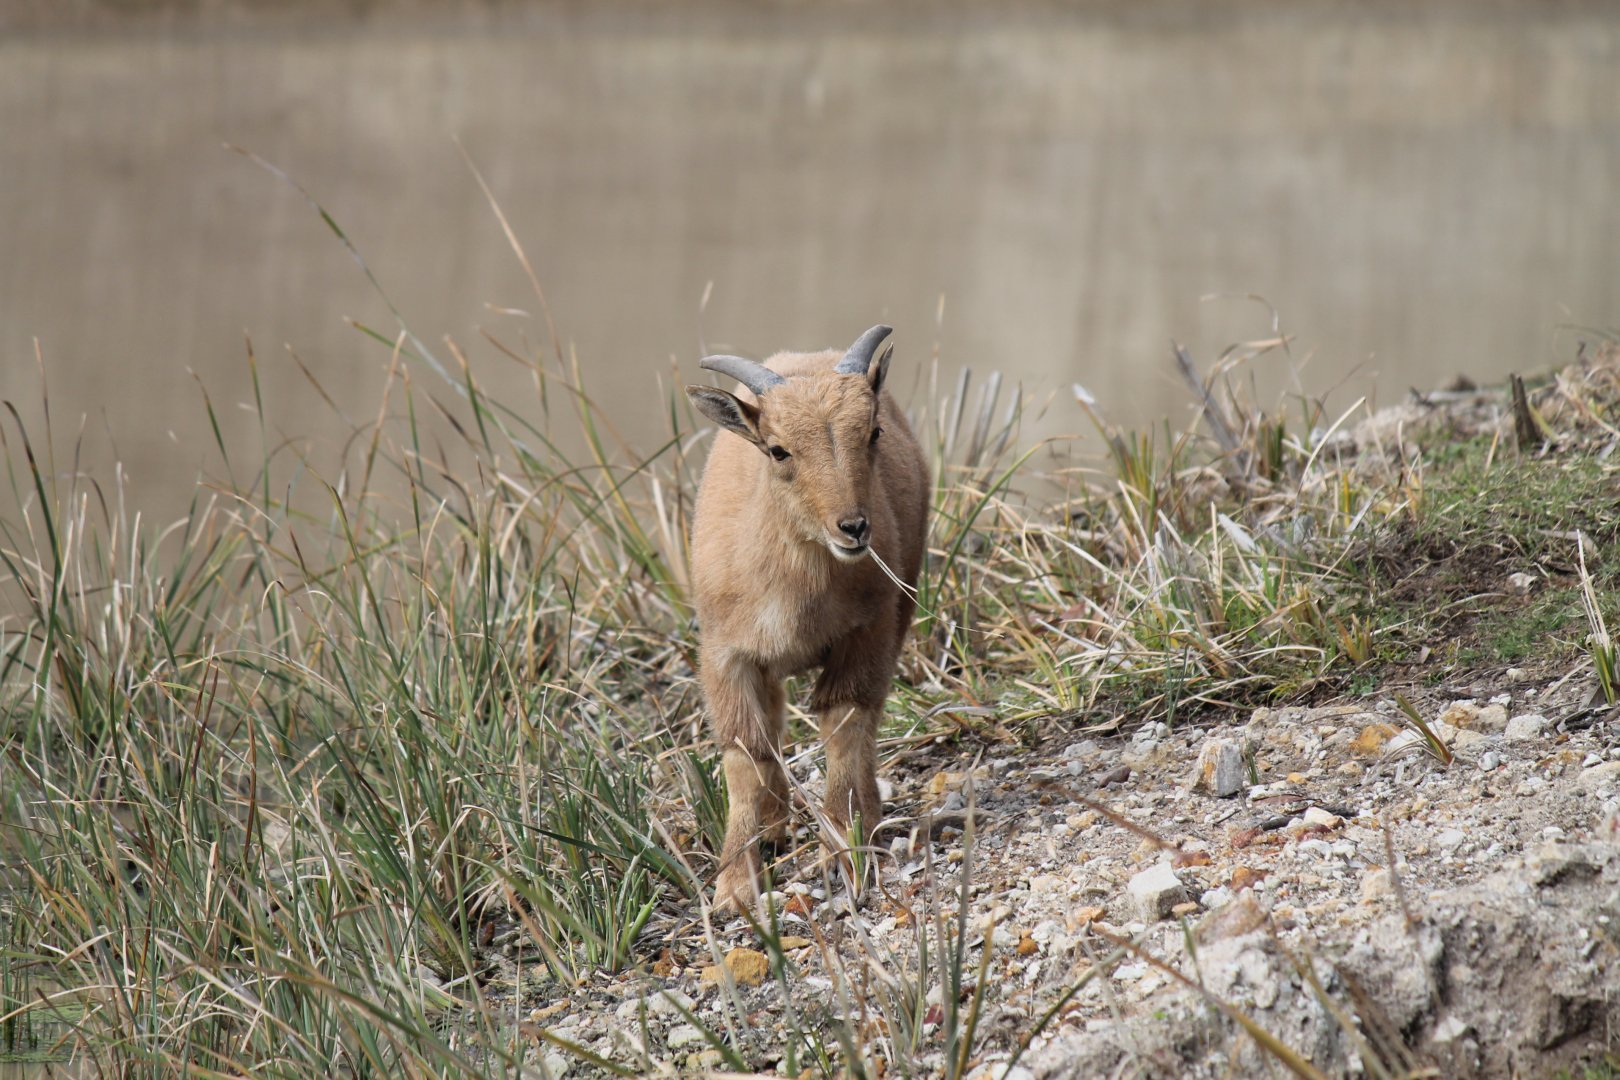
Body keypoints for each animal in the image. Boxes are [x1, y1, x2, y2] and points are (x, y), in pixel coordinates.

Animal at [685, 324, 930, 911]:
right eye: (778, 450)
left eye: (873, 431)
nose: (854, 528)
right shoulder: (725, 655)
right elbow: (746, 754)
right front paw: (734, 883)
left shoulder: (866, 634)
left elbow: (844, 728)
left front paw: (843, 852)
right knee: (772, 728)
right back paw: (775, 827)